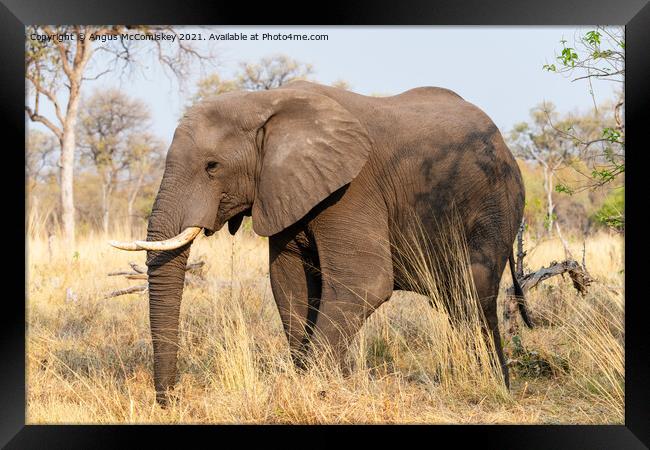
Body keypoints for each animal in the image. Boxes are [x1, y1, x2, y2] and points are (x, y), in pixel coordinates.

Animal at [110, 79, 532, 406]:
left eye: (212, 167)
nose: (169, 401)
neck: (266, 102)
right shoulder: (283, 190)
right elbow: (290, 286)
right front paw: (322, 385)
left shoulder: (353, 188)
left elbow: (364, 282)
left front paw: (315, 388)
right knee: (454, 299)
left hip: (496, 205)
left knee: (472, 292)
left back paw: (489, 384)